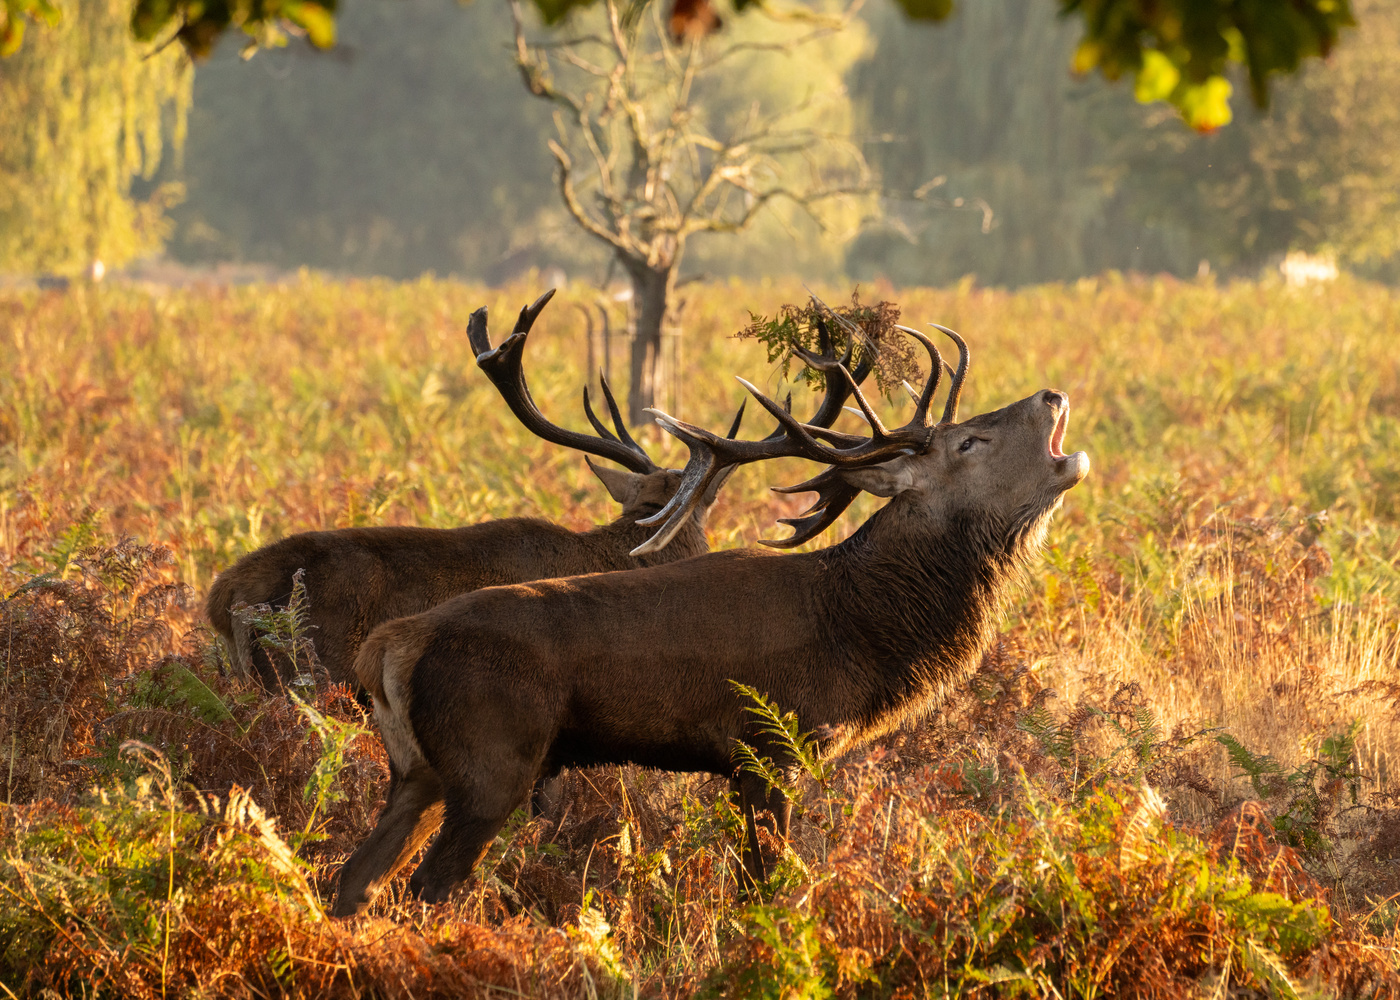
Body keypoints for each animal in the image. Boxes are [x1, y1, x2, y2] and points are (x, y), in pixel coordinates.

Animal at [330, 315, 1090, 917]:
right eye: (968, 443)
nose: (1052, 394)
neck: (859, 629)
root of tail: (390, 648)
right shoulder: (769, 747)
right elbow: (765, 890)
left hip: (418, 771)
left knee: (355, 881)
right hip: (492, 760)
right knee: (423, 886)